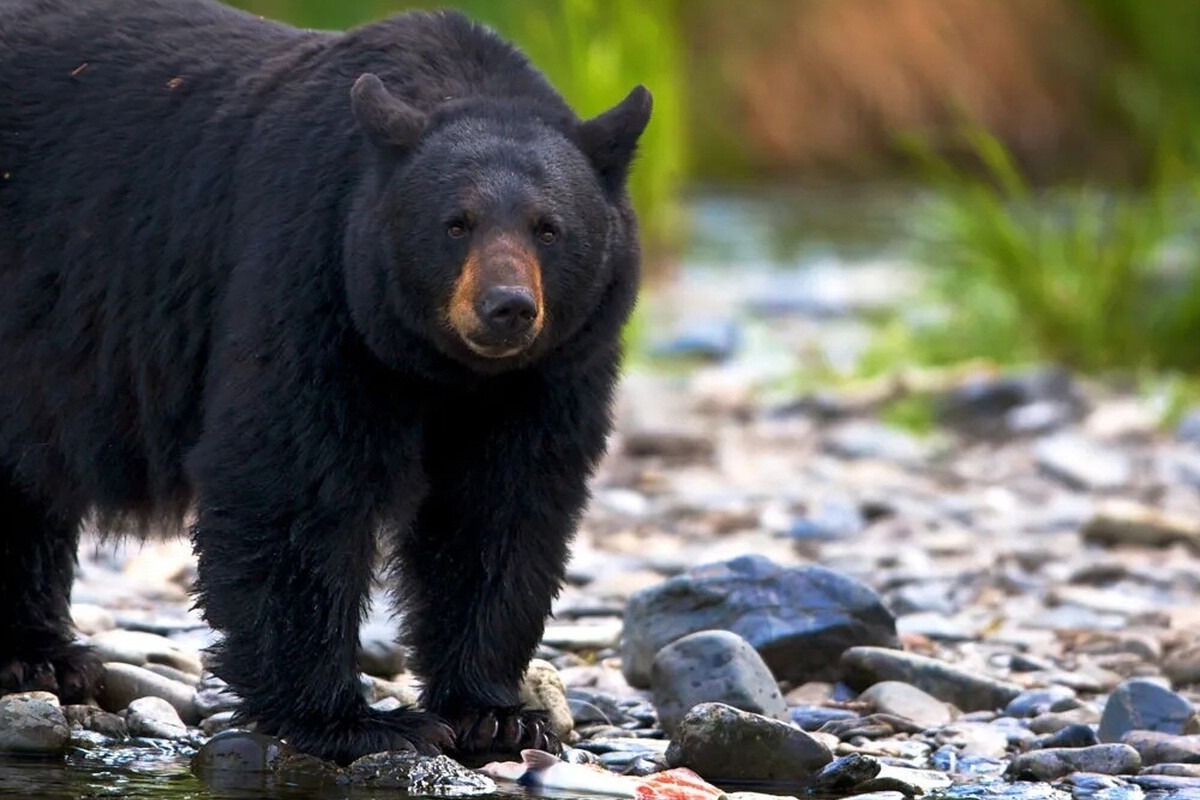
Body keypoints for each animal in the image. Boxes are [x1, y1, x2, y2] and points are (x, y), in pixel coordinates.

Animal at [0, 0, 652, 767]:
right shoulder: (312, 277)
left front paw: (496, 714)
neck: (442, 366)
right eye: (455, 223)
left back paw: (39, 654)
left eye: (549, 228)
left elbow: (502, 509)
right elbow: (295, 482)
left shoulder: (547, 372)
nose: (507, 308)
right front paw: (350, 719)